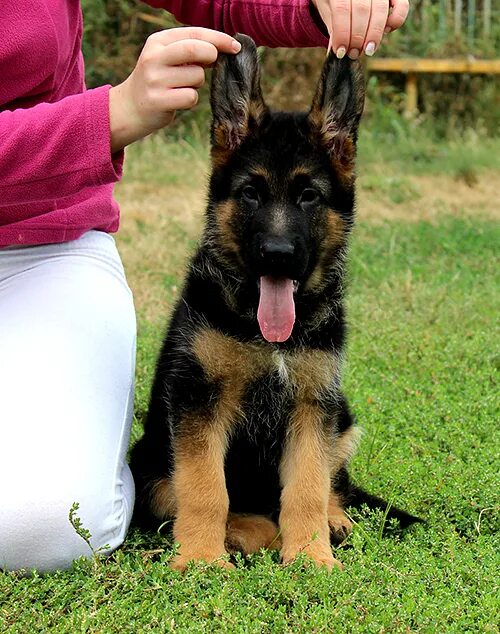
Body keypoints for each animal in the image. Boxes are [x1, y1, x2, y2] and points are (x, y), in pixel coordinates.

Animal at [129, 33, 418, 568]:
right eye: (251, 194)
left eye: (308, 196)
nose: (278, 256)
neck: (267, 336)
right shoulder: (199, 403)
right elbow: (205, 488)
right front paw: (201, 559)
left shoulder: (312, 405)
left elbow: (306, 486)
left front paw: (310, 557)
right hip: (151, 463)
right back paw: (247, 532)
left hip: (343, 416)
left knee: (332, 482)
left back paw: (333, 522)